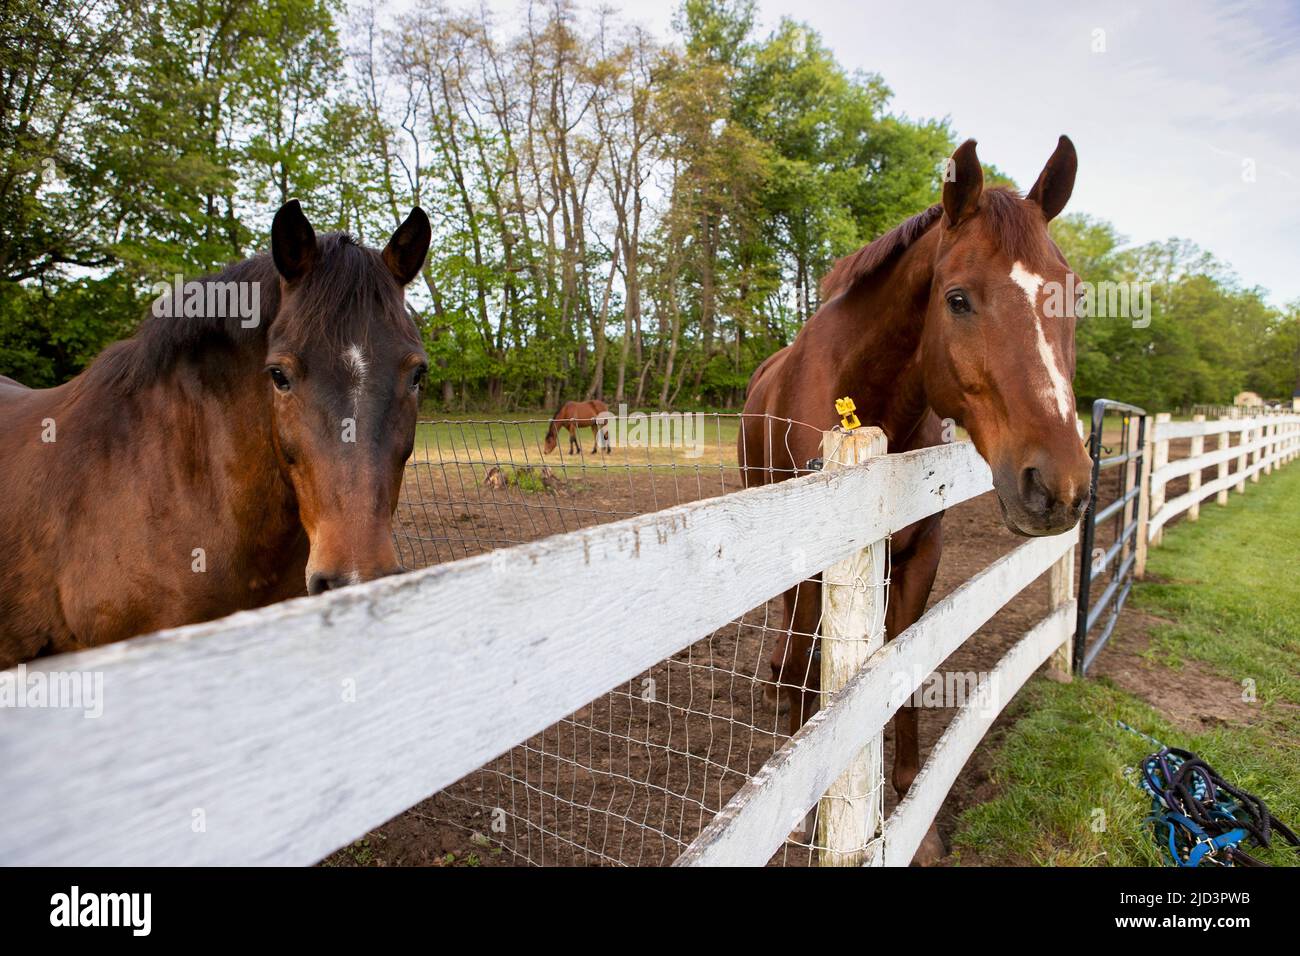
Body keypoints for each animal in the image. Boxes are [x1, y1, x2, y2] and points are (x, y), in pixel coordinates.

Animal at [738, 138, 1092, 863]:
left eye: (1072, 299)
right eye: (957, 299)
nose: (1059, 486)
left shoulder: (920, 557)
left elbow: (903, 672)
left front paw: (913, 816)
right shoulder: (815, 563)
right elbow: (809, 672)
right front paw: (803, 818)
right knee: (792, 639)